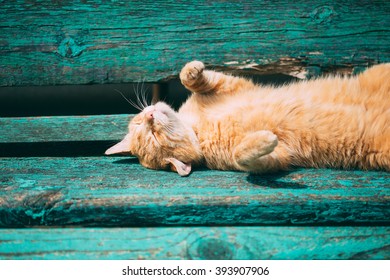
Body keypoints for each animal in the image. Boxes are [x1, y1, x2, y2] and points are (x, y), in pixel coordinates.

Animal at [104, 60, 390, 177]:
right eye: (153, 137)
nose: (150, 115)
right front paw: (263, 139)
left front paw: (193, 70)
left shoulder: (235, 86)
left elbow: (190, 79)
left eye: (142, 126)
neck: (198, 128)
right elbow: (245, 156)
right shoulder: (279, 157)